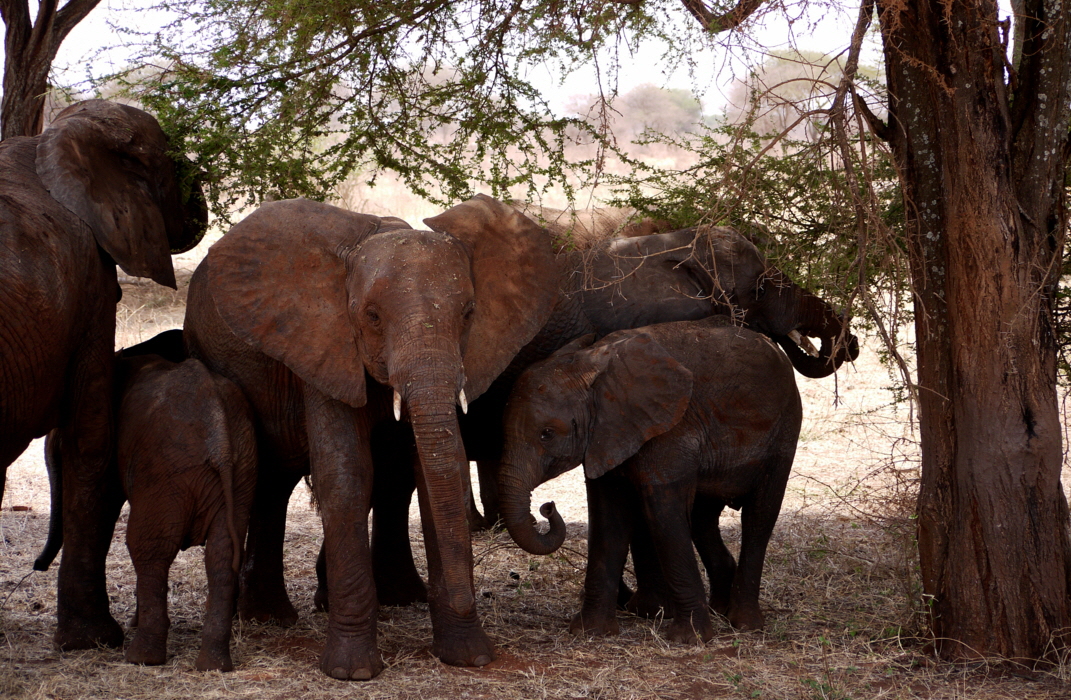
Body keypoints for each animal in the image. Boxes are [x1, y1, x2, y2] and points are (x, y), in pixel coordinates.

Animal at [179, 194, 556, 685]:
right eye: (372, 317)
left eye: (468, 314)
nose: (548, 511)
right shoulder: (324, 341)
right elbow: (346, 475)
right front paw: (352, 672)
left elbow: (439, 468)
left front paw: (468, 657)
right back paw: (269, 618)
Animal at [496, 321, 801, 646]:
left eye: (547, 434)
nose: (547, 507)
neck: (591, 364)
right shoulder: (609, 434)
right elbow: (607, 518)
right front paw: (590, 632)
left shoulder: (669, 430)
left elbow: (664, 513)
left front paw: (689, 639)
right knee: (702, 520)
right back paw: (720, 609)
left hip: (784, 431)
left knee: (759, 516)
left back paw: (744, 623)